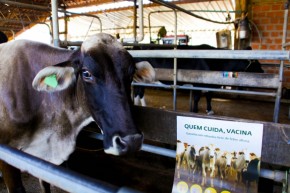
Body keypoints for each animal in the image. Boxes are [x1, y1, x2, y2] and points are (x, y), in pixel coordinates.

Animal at [133, 44, 264, 114]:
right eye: (256, 63)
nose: (263, 72)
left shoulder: (209, 84)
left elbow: (209, 96)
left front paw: (209, 110)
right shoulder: (197, 83)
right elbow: (197, 98)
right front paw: (195, 111)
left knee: (140, 92)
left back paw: (142, 105)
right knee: (137, 91)